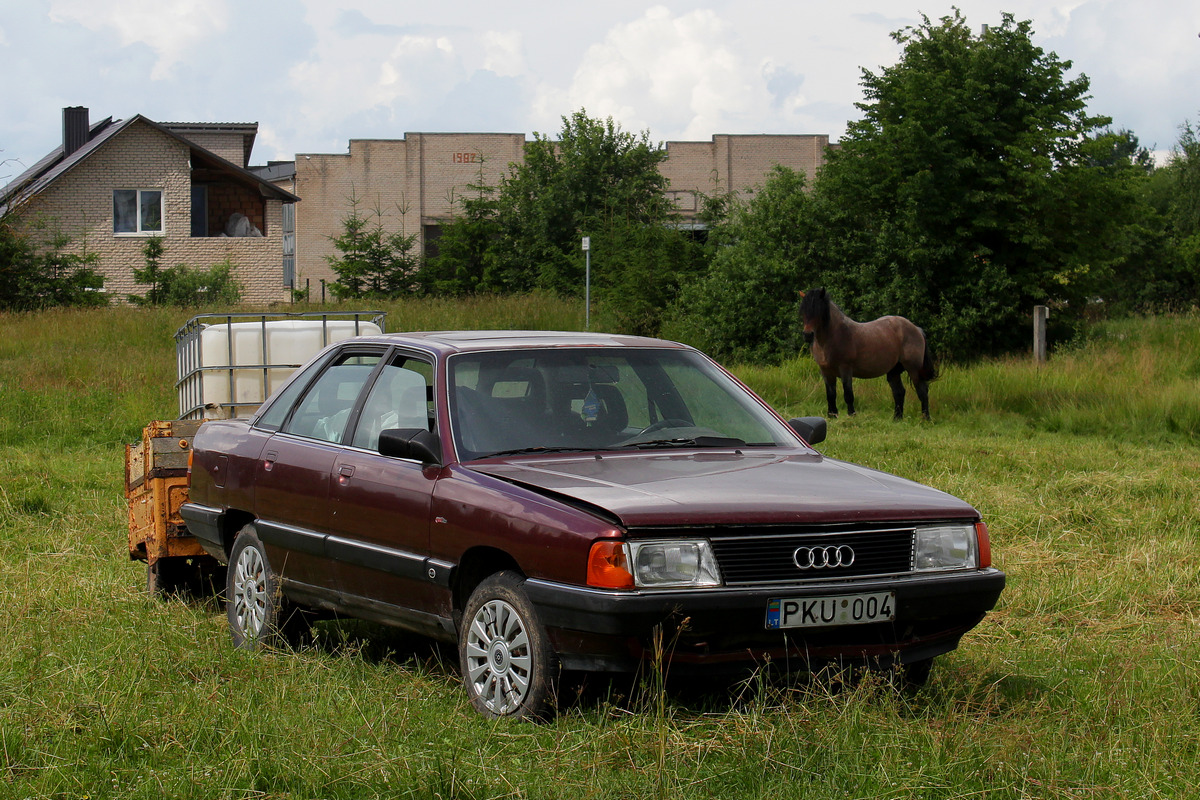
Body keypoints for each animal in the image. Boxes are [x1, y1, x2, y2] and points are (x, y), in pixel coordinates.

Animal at [796, 289, 936, 424]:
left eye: (818, 311)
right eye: (803, 312)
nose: (807, 335)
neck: (834, 336)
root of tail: (916, 329)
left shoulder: (845, 369)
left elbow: (848, 394)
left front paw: (851, 416)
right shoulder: (826, 371)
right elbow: (830, 395)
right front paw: (832, 416)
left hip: (913, 369)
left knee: (922, 391)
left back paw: (926, 419)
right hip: (894, 371)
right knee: (899, 392)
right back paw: (897, 419)